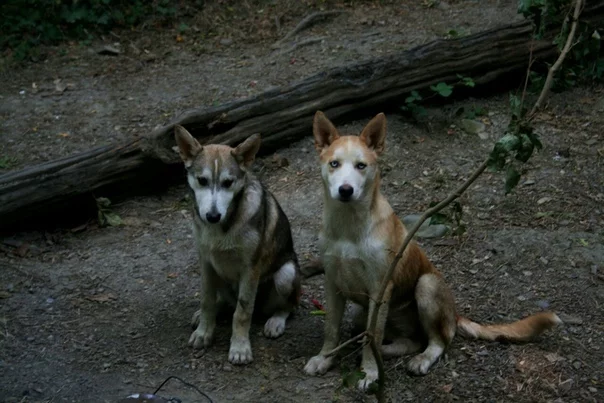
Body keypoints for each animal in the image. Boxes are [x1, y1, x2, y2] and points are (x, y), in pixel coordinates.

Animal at [302, 112, 560, 392]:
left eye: (361, 166)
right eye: (334, 164)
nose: (345, 190)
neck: (348, 228)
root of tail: (455, 315)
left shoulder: (379, 289)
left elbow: (374, 336)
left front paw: (369, 373)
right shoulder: (332, 282)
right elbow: (331, 328)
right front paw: (325, 359)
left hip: (426, 286)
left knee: (437, 341)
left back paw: (420, 359)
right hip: (362, 314)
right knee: (409, 341)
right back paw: (381, 350)